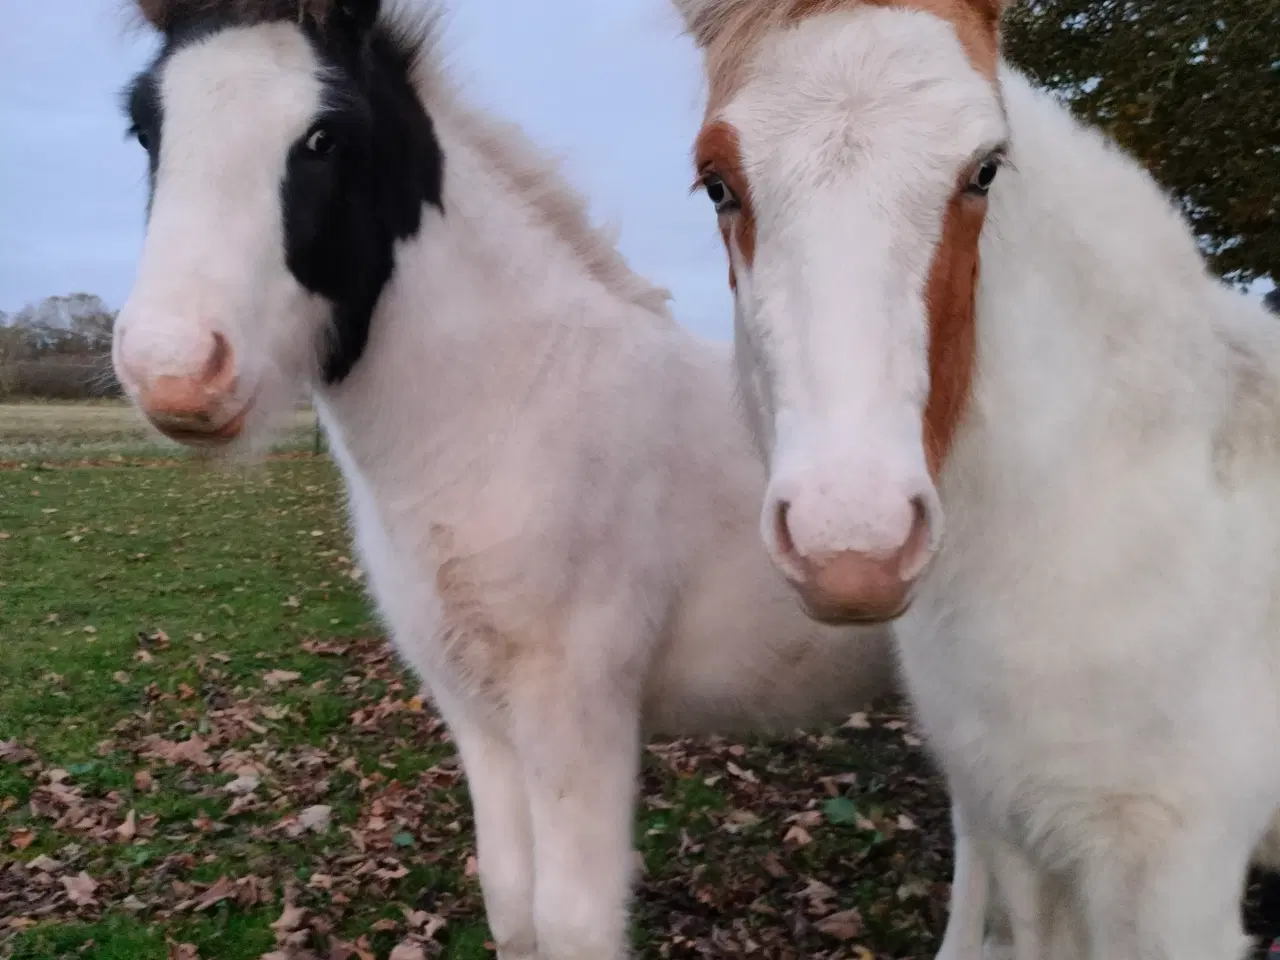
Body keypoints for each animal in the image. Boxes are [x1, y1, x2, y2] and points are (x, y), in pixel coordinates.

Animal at [110, 1, 896, 960]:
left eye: (326, 136)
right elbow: (512, 901)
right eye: (145, 126)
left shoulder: (580, 713)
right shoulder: (475, 710)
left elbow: (573, 920)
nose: (174, 373)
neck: (502, 417)